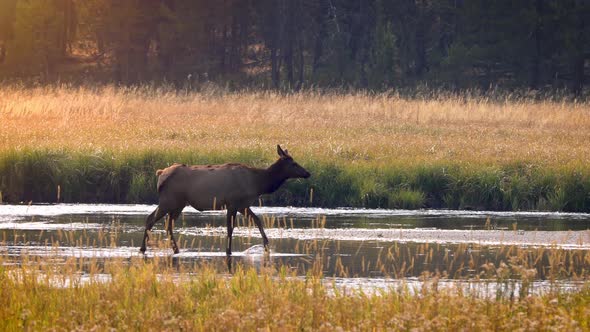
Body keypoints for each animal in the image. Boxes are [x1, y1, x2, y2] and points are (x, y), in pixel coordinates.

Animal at [140, 144, 312, 255]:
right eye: (294, 163)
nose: (308, 173)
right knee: (151, 219)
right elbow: (230, 228)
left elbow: (257, 220)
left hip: (178, 203)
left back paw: (176, 249)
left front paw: (267, 246)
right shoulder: (233, 203)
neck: (258, 183)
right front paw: (228, 251)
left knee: (168, 225)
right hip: (169, 200)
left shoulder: (243, 205)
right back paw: (143, 248)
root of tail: (160, 174)